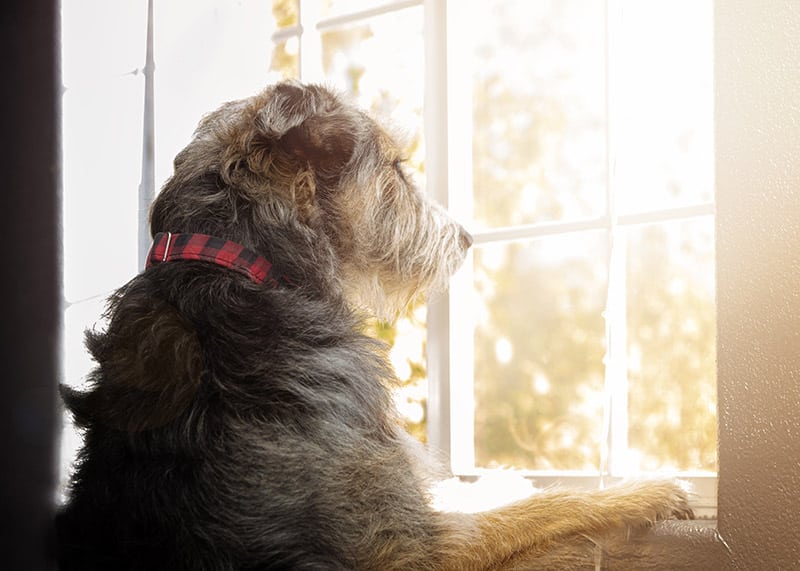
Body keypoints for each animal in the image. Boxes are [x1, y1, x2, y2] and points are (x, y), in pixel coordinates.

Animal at [57, 81, 692, 571]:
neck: (245, 270)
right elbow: (546, 508)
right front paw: (646, 489)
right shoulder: (412, 549)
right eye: (395, 168)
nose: (465, 238)